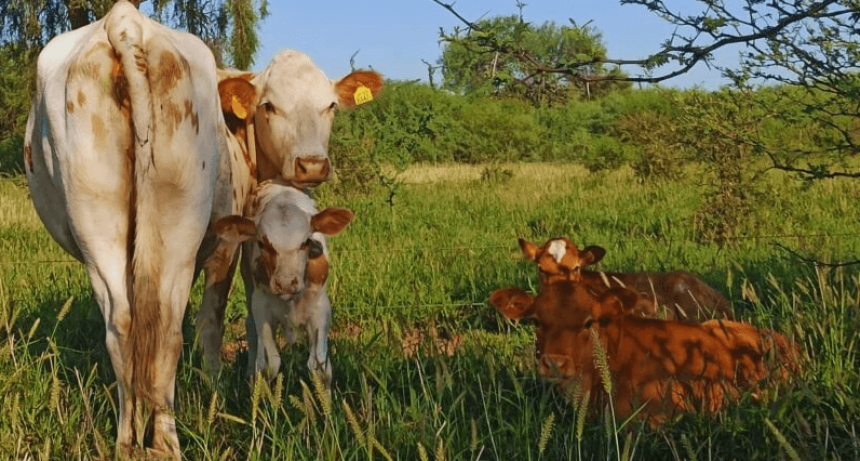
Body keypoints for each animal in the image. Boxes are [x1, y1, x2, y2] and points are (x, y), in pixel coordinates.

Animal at [205, 180, 353, 384]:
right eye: (262, 243)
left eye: (306, 242)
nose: (286, 283)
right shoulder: (262, 307)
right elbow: (268, 365)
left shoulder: (320, 308)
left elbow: (319, 367)